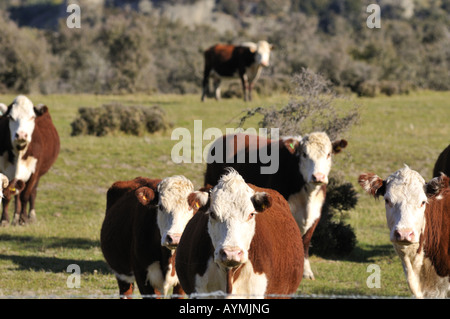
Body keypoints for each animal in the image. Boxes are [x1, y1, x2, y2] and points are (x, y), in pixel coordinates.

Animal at [0, 95, 59, 225]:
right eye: (11, 117)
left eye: (32, 117)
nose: (21, 135)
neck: (20, 152)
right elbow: (7, 196)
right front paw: (5, 220)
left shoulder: (34, 172)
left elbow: (25, 195)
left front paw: (24, 219)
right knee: (17, 193)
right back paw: (15, 218)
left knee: (32, 192)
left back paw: (30, 216)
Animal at [204, 132, 348, 280]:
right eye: (304, 154)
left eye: (328, 154)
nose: (318, 177)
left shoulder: (315, 215)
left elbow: (306, 241)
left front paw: (307, 271)